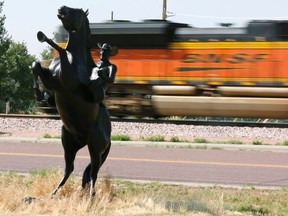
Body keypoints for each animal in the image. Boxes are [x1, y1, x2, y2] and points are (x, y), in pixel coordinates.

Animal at [31, 5, 111, 197]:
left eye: (79, 11)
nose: (61, 8)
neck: (75, 57)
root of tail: (110, 136)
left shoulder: (64, 81)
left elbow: (58, 53)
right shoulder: (52, 80)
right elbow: (36, 65)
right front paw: (39, 94)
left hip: (95, 147)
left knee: (93, 173)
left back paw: (90, 198)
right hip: (68, 142)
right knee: (70, 169)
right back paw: (53, 194)